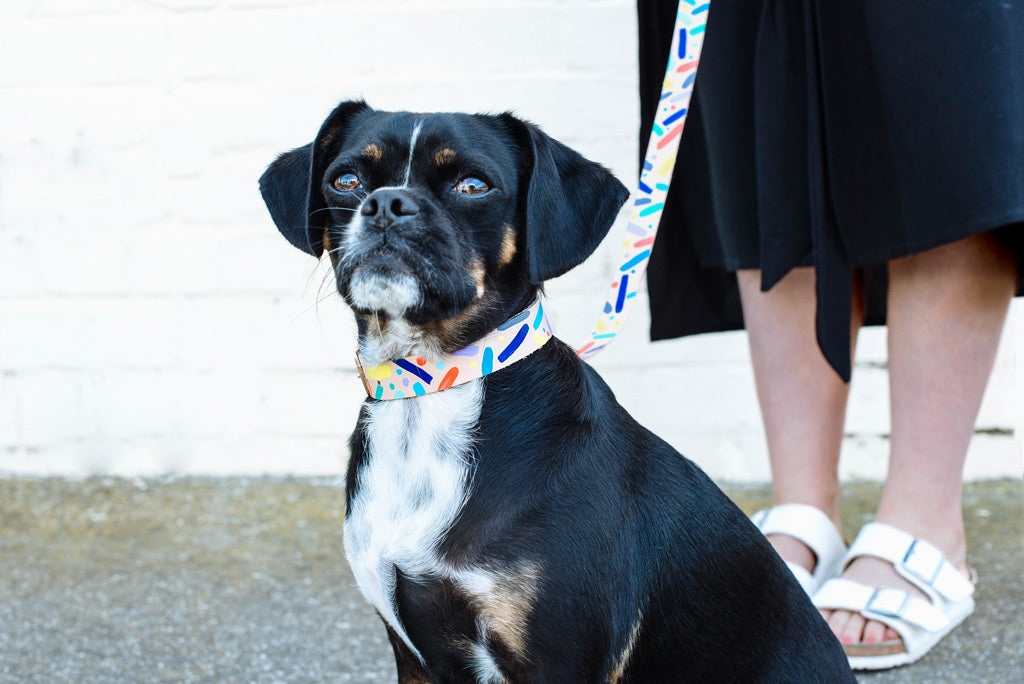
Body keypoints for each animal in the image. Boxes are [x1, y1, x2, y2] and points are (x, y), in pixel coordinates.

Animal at [260, 98, 851, 679]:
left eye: (472, 185)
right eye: (347, 180)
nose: (385, 203)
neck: (432, 388)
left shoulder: (557, 656)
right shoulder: (413, 655)